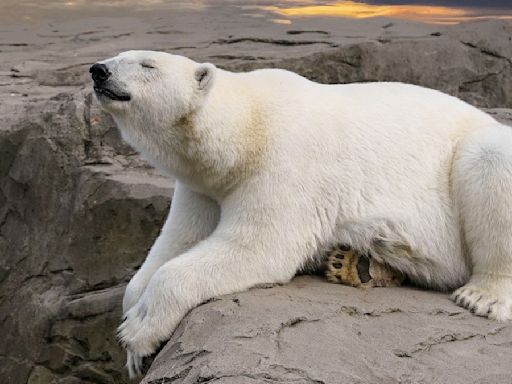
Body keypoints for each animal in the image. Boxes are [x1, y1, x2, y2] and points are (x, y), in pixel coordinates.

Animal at [90, 49, 512, 376]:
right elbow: (177, 241)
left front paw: (138, 330)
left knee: (490, 160)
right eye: (120, 55)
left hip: (467, 154)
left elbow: (257, 247)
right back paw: (354, 263)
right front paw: (134, 348)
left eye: (147, 65)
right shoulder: (202, 187)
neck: (248, 127)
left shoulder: (285, 163)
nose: (99, 70)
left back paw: (482, 295)